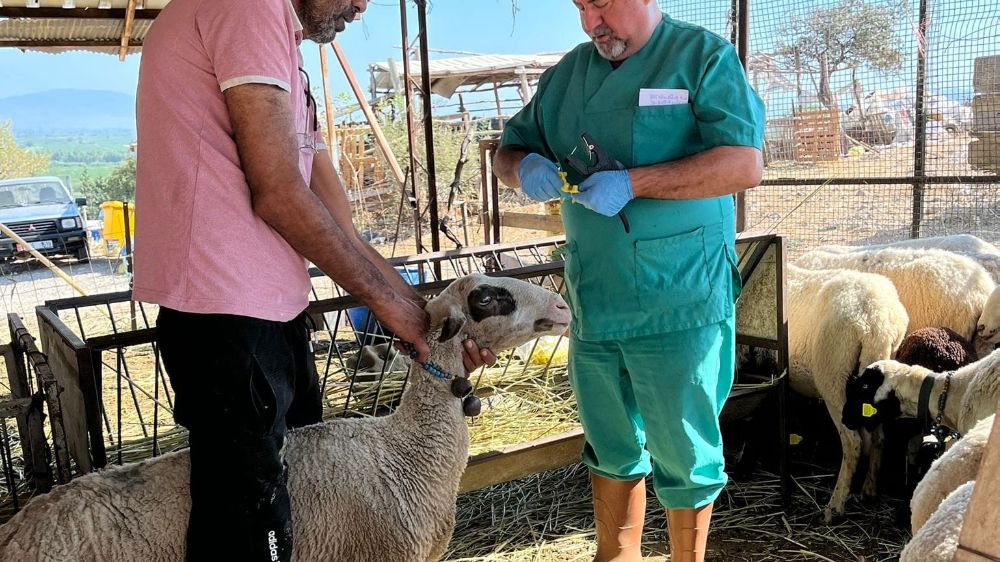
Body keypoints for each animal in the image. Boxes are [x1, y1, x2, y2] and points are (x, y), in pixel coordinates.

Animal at [740, 262, 912, 520]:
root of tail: (875, 322)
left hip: (833, 376)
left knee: (853, 442)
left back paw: (835, 506)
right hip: (879, 371)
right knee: (879, 437)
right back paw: (869, 491)